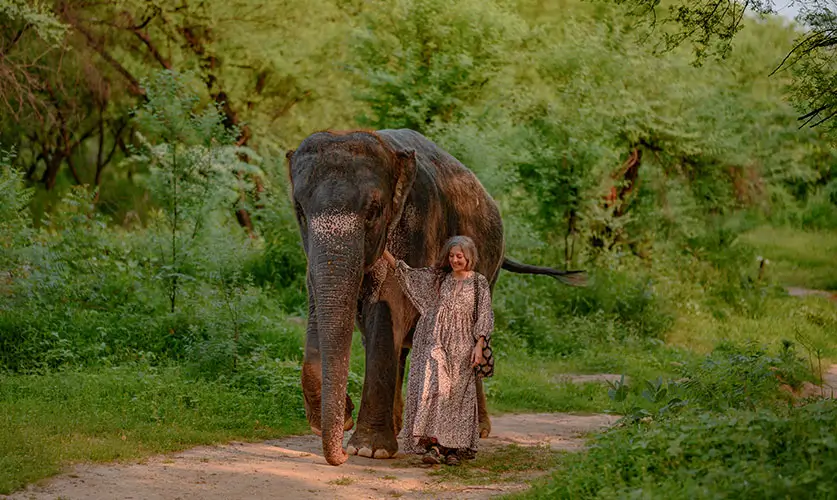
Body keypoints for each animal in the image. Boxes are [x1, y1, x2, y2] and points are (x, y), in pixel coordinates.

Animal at [286, 128, 585, 466]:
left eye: (374, 212)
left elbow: (388, 310)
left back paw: (477, 431)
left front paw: (368, 450)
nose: (339, 457)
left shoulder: (416, 232)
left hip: (492, 269)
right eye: (300, 211)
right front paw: (345, 422)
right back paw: (401, 427)